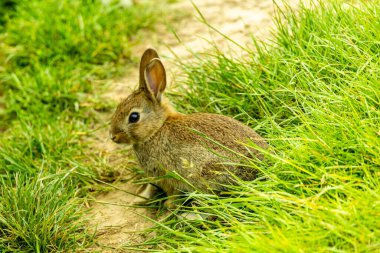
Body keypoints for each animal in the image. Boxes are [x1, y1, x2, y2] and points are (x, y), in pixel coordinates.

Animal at [110, 48, 270, 208]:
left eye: (134, 117)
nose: (113, 136)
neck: (156, 129)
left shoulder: (168, 175)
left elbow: (172, 192)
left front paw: (168, 205)